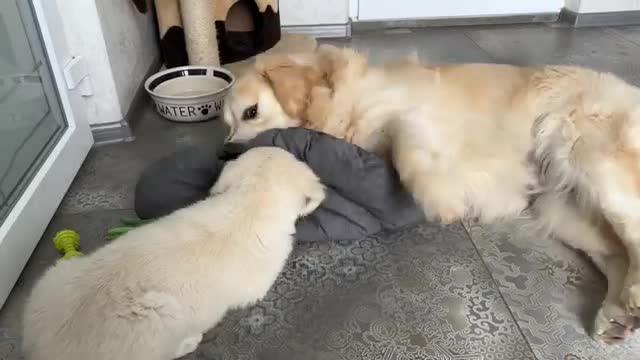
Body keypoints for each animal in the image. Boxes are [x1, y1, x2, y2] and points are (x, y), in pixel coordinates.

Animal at [222, 45, 640, 344]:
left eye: (251, 111)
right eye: (225, 124)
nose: (225, 153)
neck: (336, 97)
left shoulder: (409, 114)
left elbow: (406, 149)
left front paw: (439, 197)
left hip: (586, 154)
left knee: (633, 230)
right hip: (563, 209)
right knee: (619, 252)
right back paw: (616, 316)